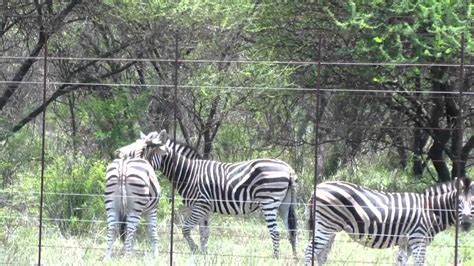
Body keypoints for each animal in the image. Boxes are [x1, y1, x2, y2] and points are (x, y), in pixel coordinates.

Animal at [116, 130, 298, 258]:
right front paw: (204, 255)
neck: (188, 173)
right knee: (291, 231)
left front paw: (195, 250)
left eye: (145, 150)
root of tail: (288, 168)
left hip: (269, 202)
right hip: (284, 204)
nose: (121, 155)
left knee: (276, 232)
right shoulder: (205, 209)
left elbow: (186, 230)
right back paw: (294, 257)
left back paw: (275, 258)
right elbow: (204, 234)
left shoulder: (199, 206)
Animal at [304, 178, 474, 264]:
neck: (431, 210)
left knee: (321, 255)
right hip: (325, 226)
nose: (466, 224)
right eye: (458, 202)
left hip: (329, 229)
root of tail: (316, 188)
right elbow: (419, 263)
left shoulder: (407, 243)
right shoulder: (418, 238)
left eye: (473, 202)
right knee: (309, 252)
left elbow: (400, 262)